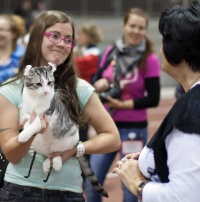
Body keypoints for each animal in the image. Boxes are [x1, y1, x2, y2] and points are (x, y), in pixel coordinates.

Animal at [17, 62, 108, 197]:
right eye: (38, 84)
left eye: (49, 82)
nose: (46, 92)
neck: (36, 99)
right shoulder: (28, 111)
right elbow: (26, 118)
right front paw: (25, 127)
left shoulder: (46, 115)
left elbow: (36, 124)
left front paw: (24, 135)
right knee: (49, 155)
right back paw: (46, 164)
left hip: (70, 138)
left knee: (60, 152)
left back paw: (57, 162)